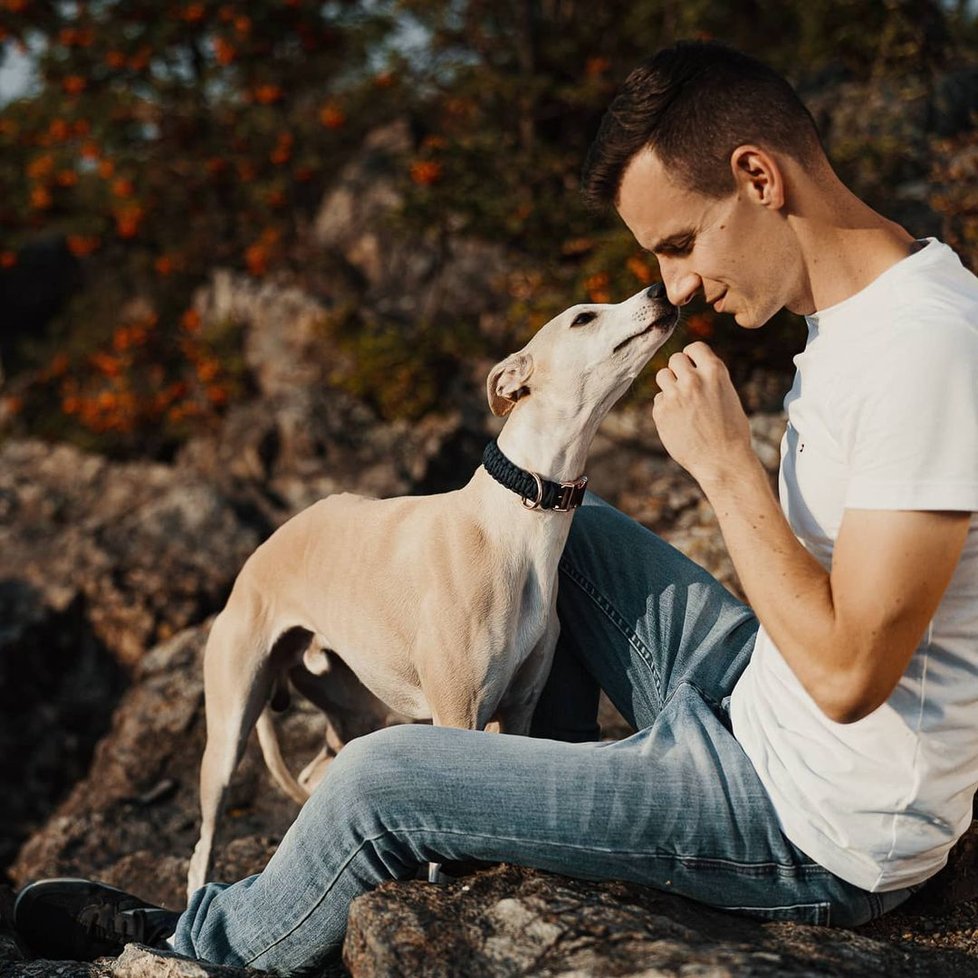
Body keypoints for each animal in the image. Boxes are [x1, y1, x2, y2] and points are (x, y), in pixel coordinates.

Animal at [191, 282, 680, 892]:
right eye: (583, 318)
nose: (661, 289)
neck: (513, 520)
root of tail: (257, 556)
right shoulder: (456, 713)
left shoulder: (518, 709)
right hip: (231, 722)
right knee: (204, 836)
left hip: (351, 709)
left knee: (314, 772)